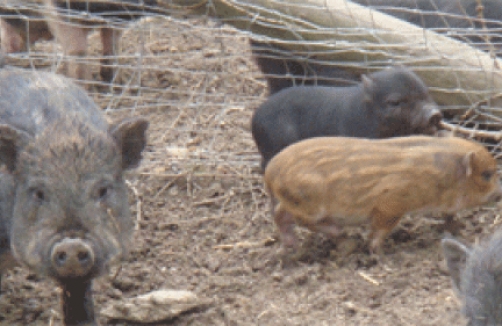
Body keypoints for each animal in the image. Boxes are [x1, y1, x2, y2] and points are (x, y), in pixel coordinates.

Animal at [264, 136, 500, 253]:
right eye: (487, 175)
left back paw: (292, 247)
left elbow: (449, 216)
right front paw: (375, 252)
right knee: (300, 220)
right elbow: (381, 228)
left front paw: (459, 229)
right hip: (309, 202)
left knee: (279, 215)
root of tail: (270, 173)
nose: (499, 193)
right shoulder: (391, 202)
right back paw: (344, 238)